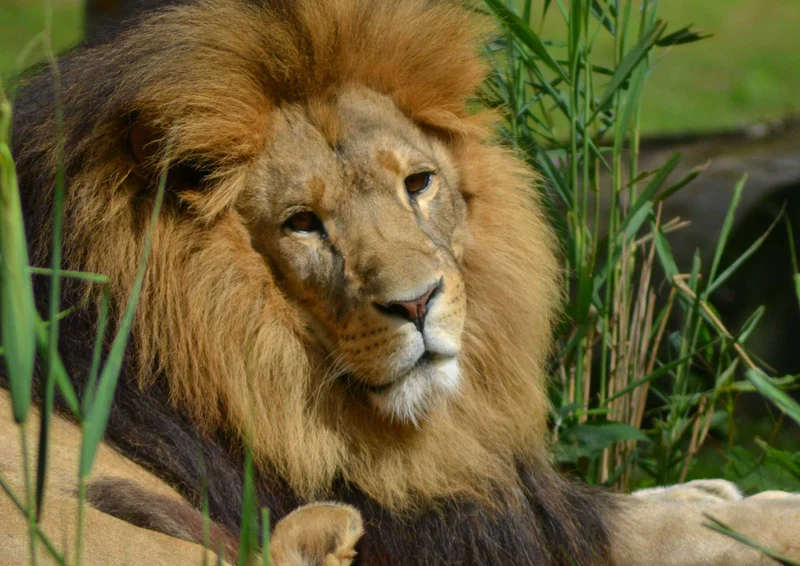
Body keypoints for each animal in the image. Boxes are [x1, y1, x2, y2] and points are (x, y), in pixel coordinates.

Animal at [2, 0, 799, 564]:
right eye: (302, 223)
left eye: (418, 184)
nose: (417, 303)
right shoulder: (434, 529)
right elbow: (633, 526)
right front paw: (768, 513)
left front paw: (707, 486)